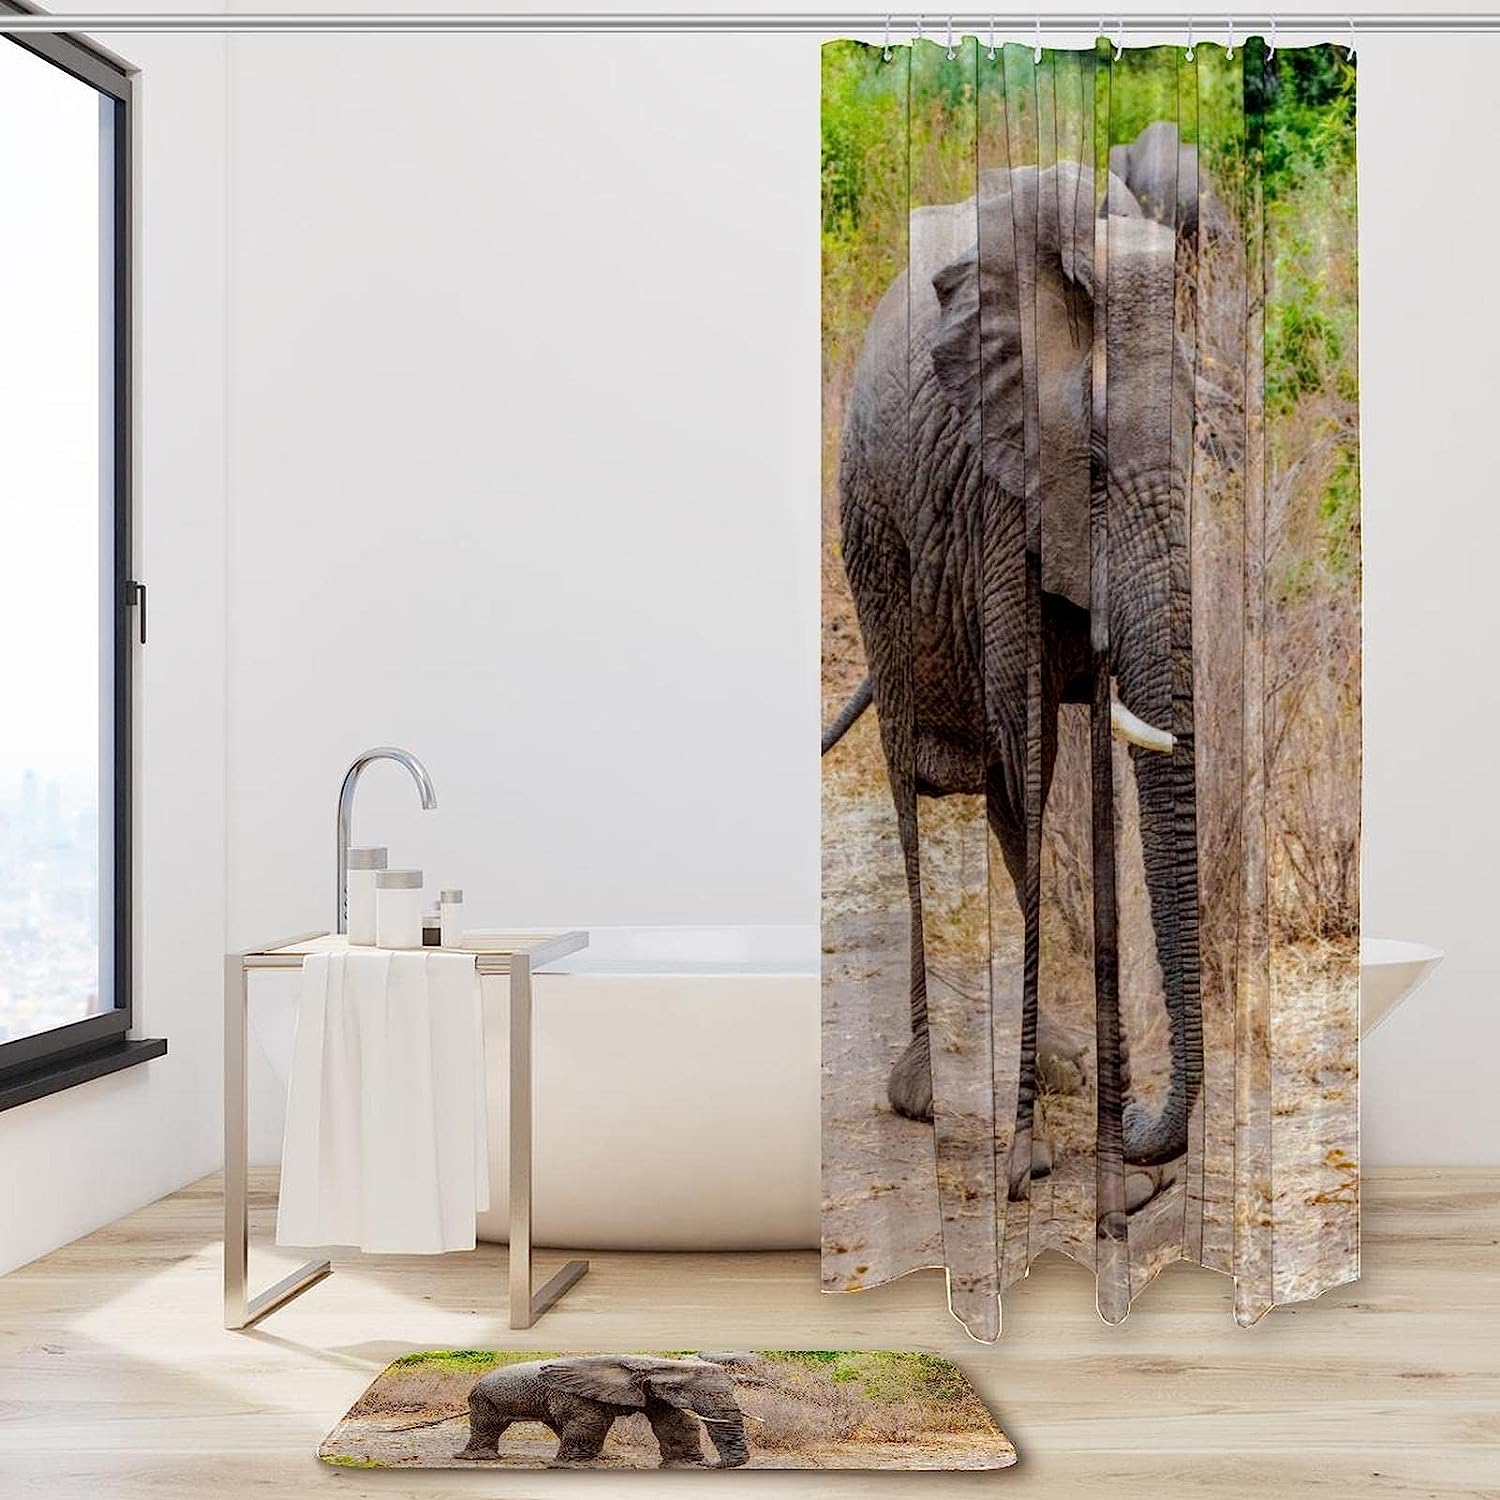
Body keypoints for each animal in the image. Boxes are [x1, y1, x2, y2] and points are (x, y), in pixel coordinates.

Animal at [454, 1354, 751, 1469]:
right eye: (677, 1388)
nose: (712, 1464)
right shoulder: (574, 1391)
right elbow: (592, 1421)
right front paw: (569, 1467)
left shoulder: (653, 1394)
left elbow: (676, 1424)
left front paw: (684, 1466)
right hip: (483, 1399)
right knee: (488, 1425)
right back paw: (478, 1459)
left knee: (558, 1425)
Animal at [824, 124, 1206, 1195]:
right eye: (1092, 466)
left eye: (1204, 437)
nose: (1148, 1132)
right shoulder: (1003, 493)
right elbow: (1032, 741)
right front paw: (1033, 1157)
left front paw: (1114, 1148)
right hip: (875, 560)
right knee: (926, 795)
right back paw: (923, 1094)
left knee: (998, 795)